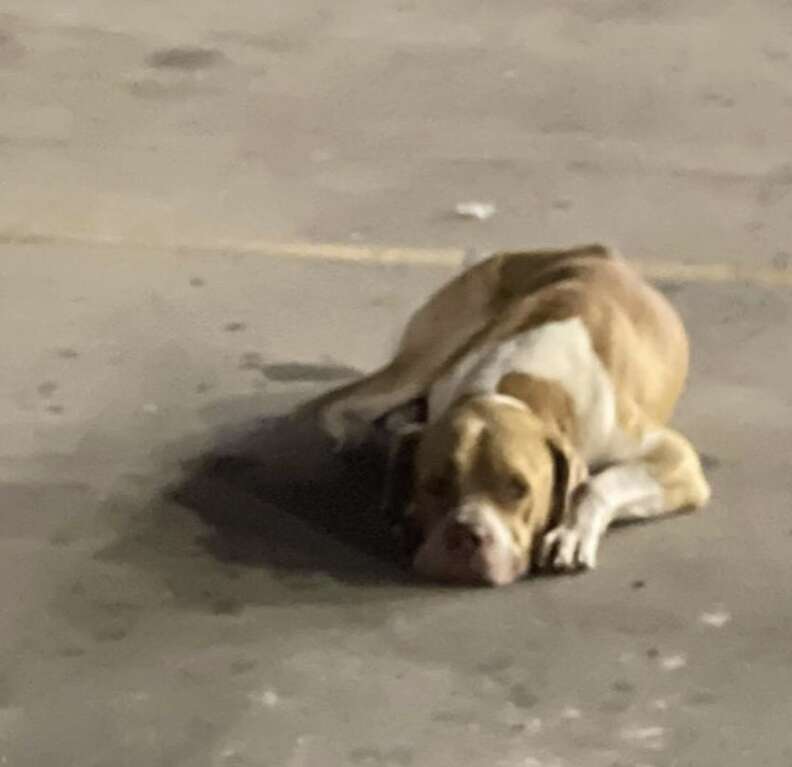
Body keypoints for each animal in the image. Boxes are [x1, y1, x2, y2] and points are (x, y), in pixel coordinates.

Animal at [304, 246, 712, 588]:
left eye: (519, 489)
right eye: (434, 484)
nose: (465, 534)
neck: (523, 385)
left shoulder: (674, 456)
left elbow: (596, 484)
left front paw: (572, 532)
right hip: (427, 359)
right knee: (337, 405)